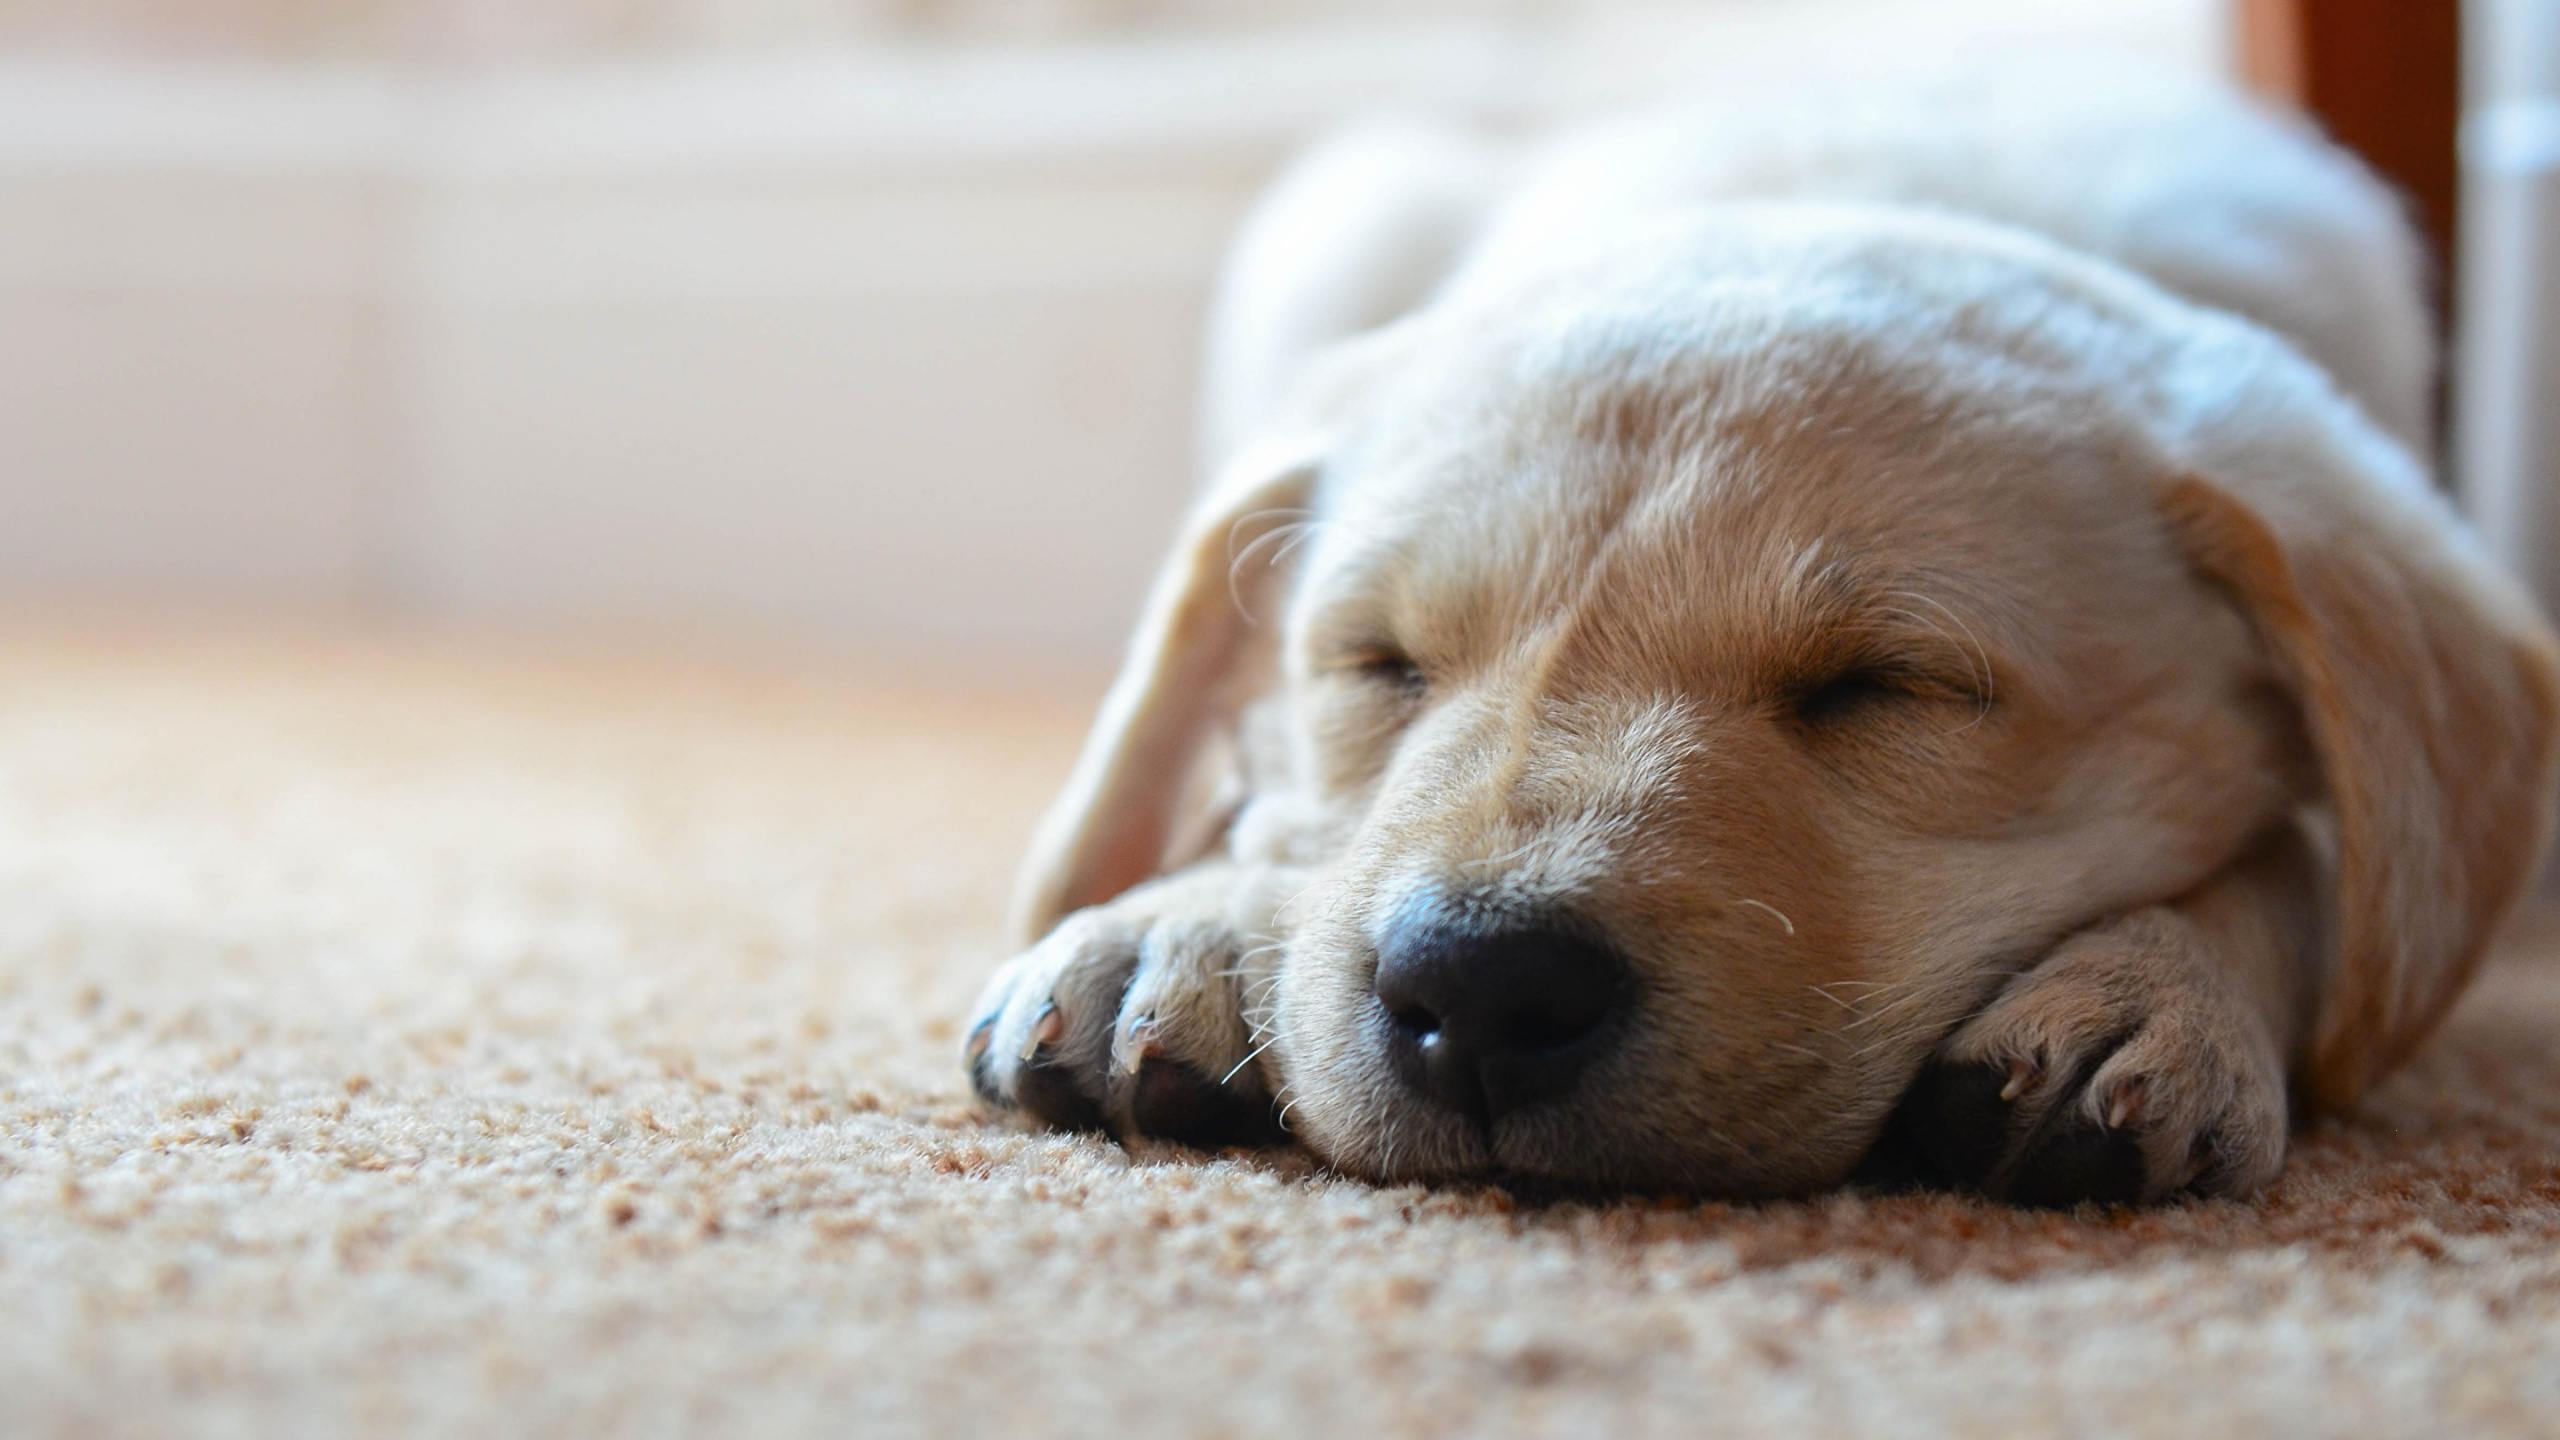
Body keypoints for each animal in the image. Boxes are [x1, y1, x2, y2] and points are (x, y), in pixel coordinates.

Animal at [962, 64, 2560, 1199]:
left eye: (1889, 686)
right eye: (1380, 665)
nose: (1479, 988)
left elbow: (2311, 866)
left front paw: (2168, 983)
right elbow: (1268, 808)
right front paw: (1178, 921)